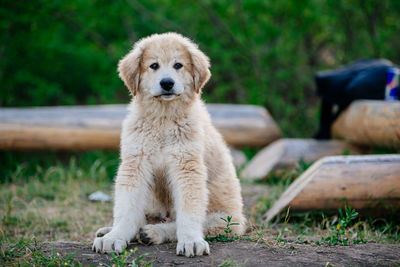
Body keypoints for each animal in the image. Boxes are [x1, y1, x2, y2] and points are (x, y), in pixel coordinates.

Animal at [92, 33, 245, 258]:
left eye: (178, 65)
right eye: (154, 65)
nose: (167, 83)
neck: (163, 120)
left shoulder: (187, 167)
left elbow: (188, 213)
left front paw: (190, 241)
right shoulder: (135, 163)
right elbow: (127, 207)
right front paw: (115, 237)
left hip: (224, 220)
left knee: (186, 223)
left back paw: (153, 232)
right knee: (141, 216)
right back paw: (111, 230)